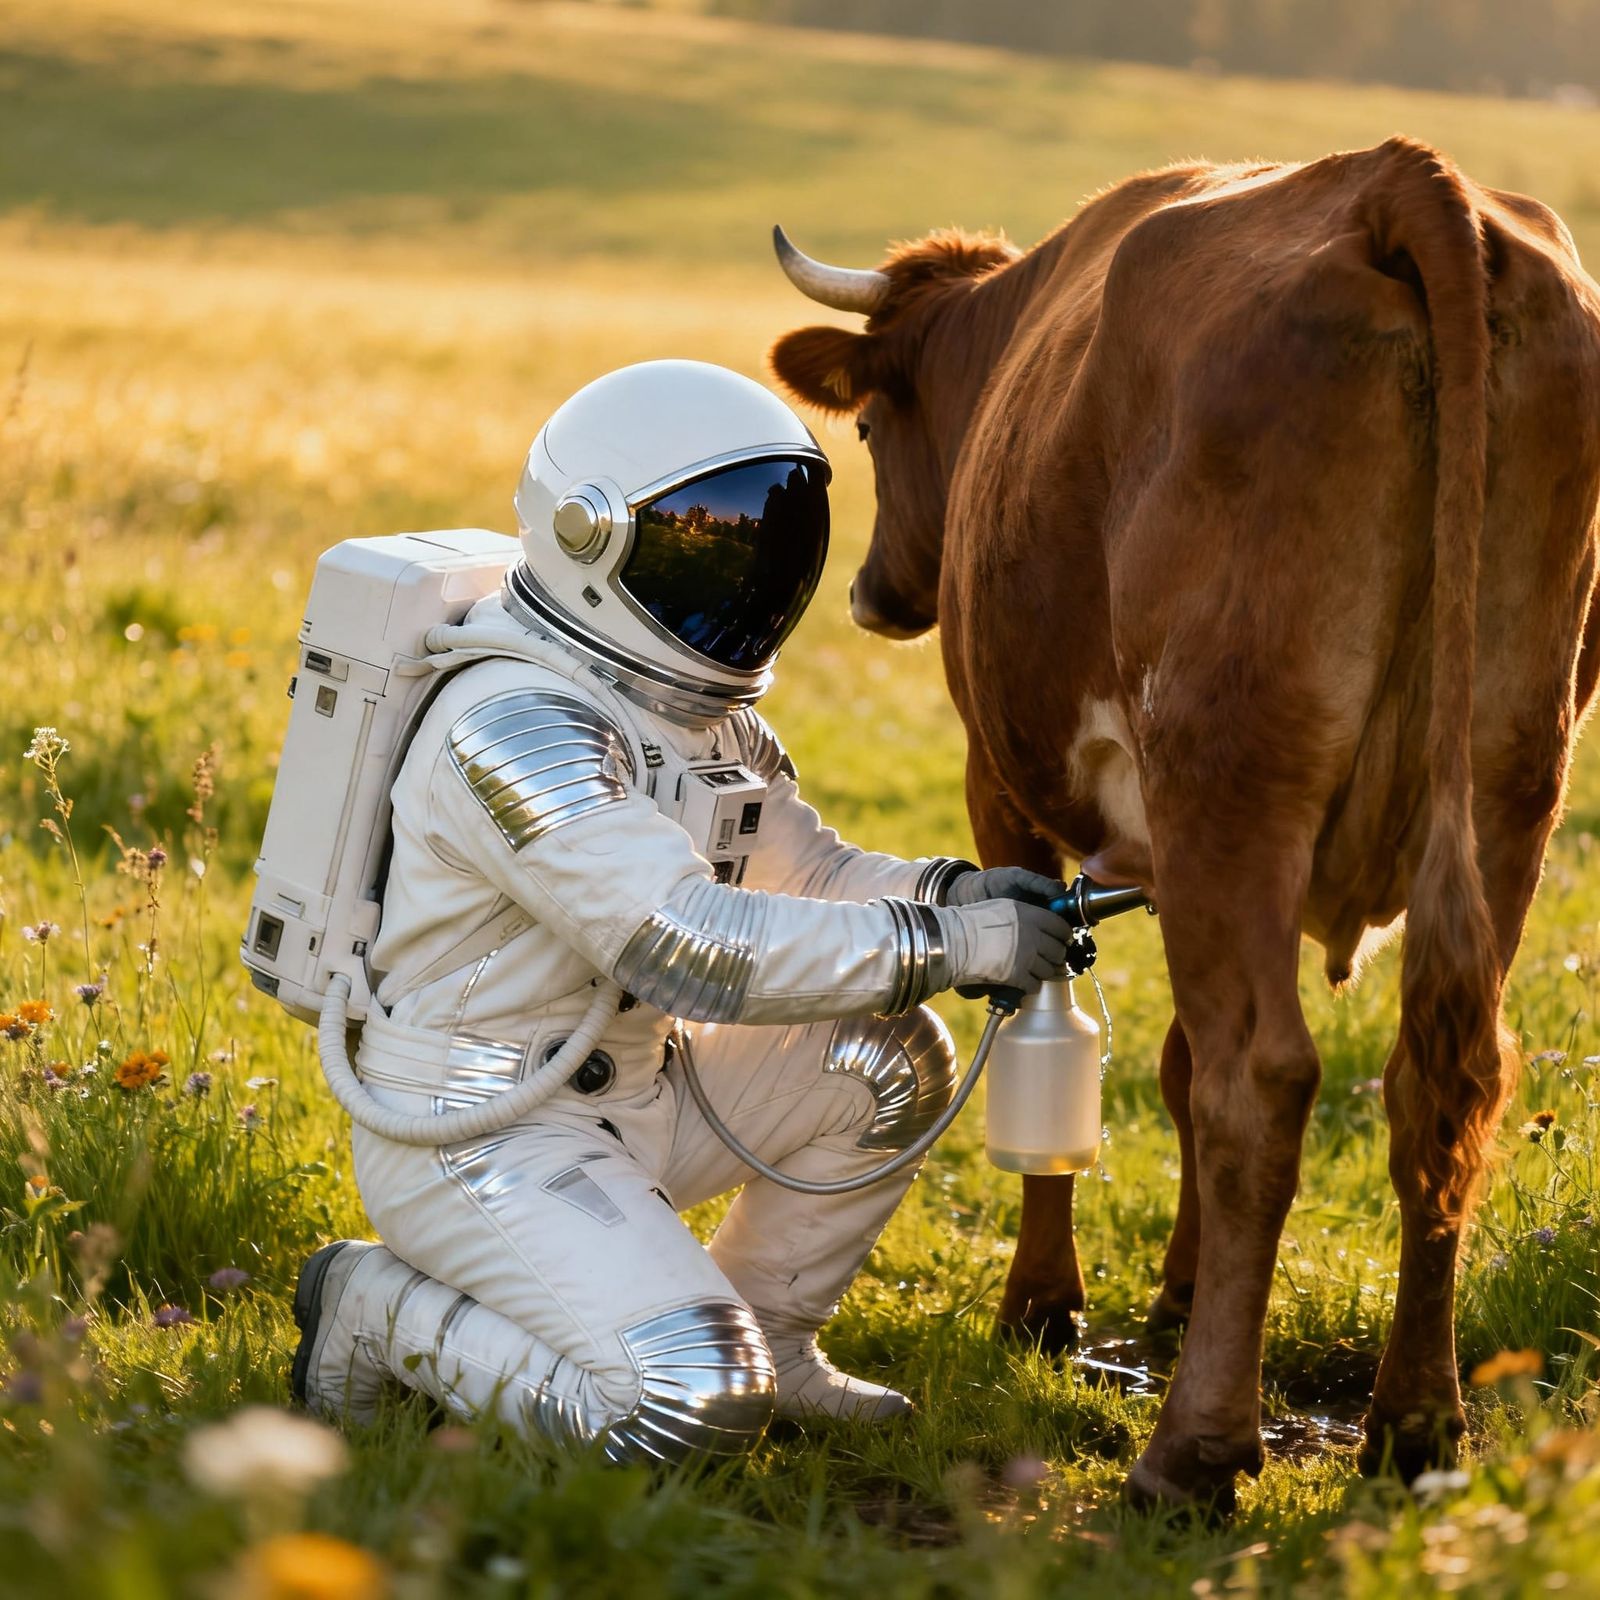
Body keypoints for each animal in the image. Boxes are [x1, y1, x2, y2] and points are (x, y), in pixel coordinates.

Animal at [767, 136, 1600, 1509]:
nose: (877, 595)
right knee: (1437, 1080)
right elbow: (1167, 1059)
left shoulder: (1006, 787)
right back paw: (1414, 1427)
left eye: (875, 425)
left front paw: (1042, 1305)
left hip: (1230, 773)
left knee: (1259, 1077)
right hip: (1503, 788)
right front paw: (1181, 1288)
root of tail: (1401, 179)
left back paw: (1194, 1451)